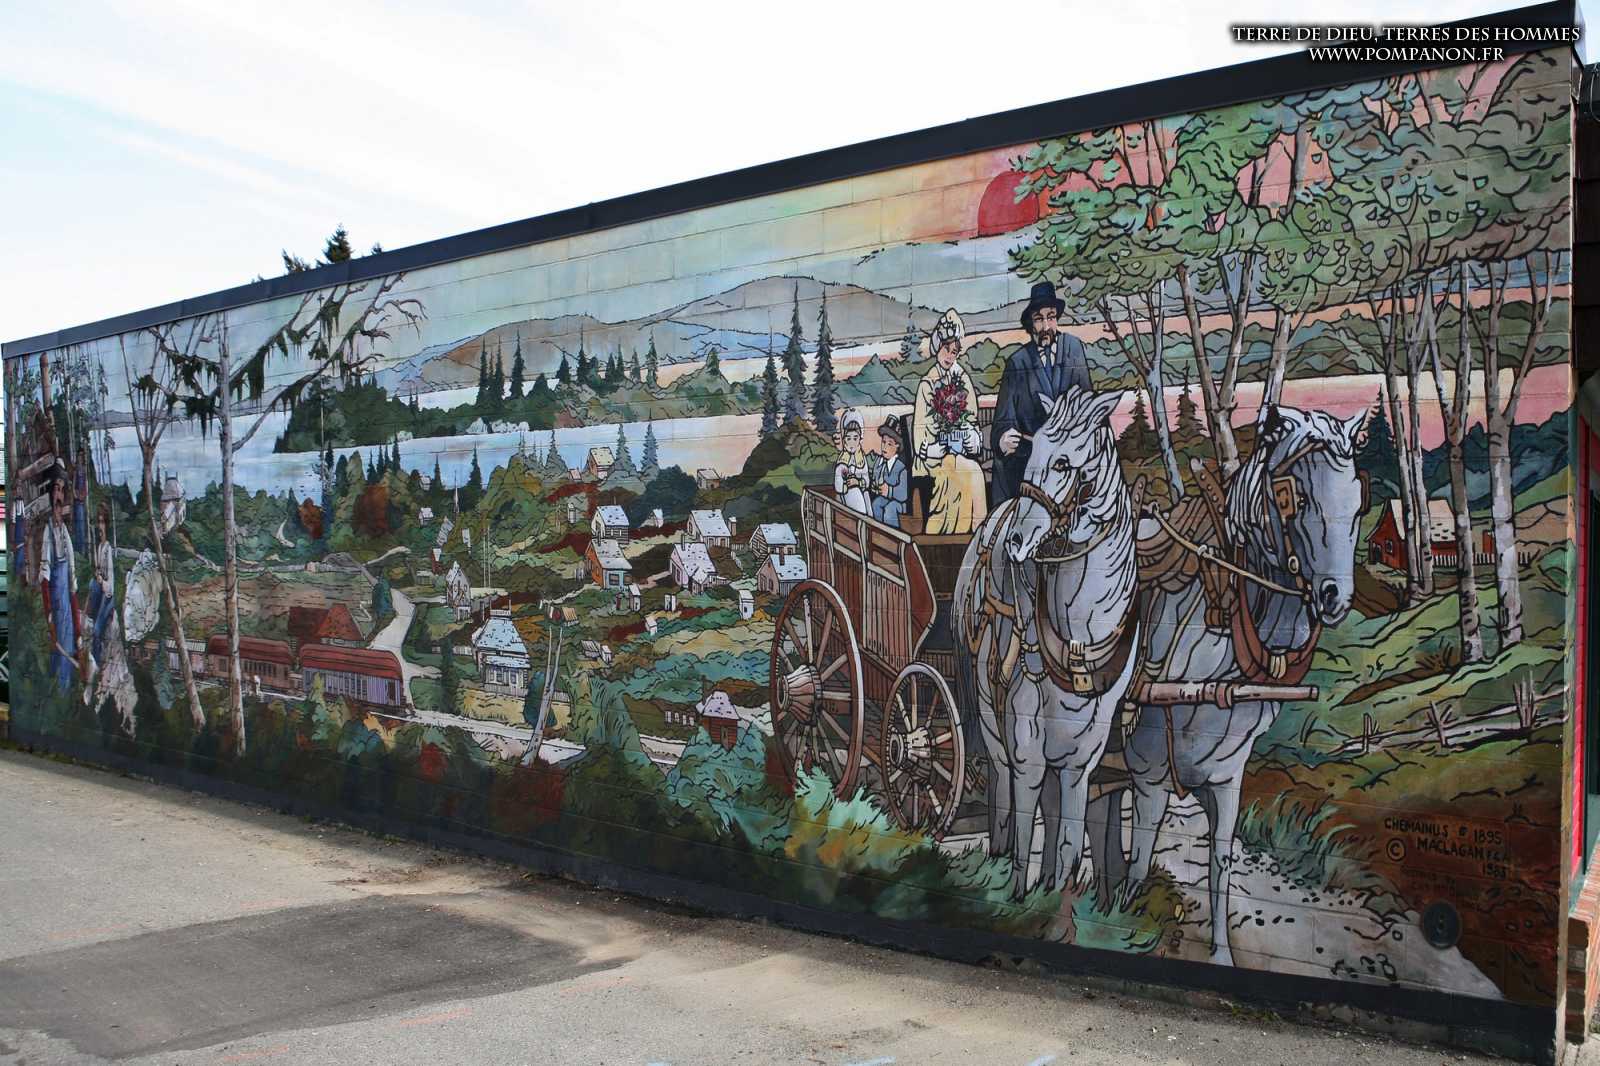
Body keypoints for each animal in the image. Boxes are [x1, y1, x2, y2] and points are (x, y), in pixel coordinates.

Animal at [953, 386, 1140, 900]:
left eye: (1063, 463)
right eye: (1031, 449)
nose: (1017, 540)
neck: (1078, 638)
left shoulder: (1083, 756)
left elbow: (1071, 837)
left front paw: (1058, 892)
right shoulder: (1025, 744)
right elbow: (1023, 820)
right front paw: (1019, 892)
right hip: (988, 713)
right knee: (1001, 786)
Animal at [1117, 404, 1365, 967]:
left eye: (1358, 502)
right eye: (1295, 497)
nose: (1335, 597)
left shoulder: (1227, 776)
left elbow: (1220, 864)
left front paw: (1221, 957)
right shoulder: (1146, 775)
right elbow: (1138, 860)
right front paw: (1120, 919)